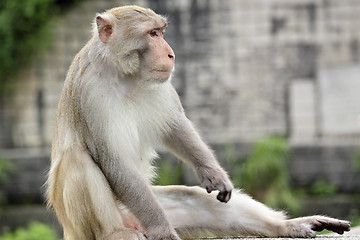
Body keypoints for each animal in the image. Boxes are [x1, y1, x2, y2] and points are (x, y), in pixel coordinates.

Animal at [45, 4, 352, 239]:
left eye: (161, 32)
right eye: (152, 34)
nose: (171, 53)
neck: (125, 75)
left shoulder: (162, 85)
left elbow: (175, 126)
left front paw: (213, 172)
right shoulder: (89, 92)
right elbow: (112, 160)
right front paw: (162, 230)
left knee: (195, 200)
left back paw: (285, 226)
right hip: (88, 223)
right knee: (77, 159)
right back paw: (116, 233)